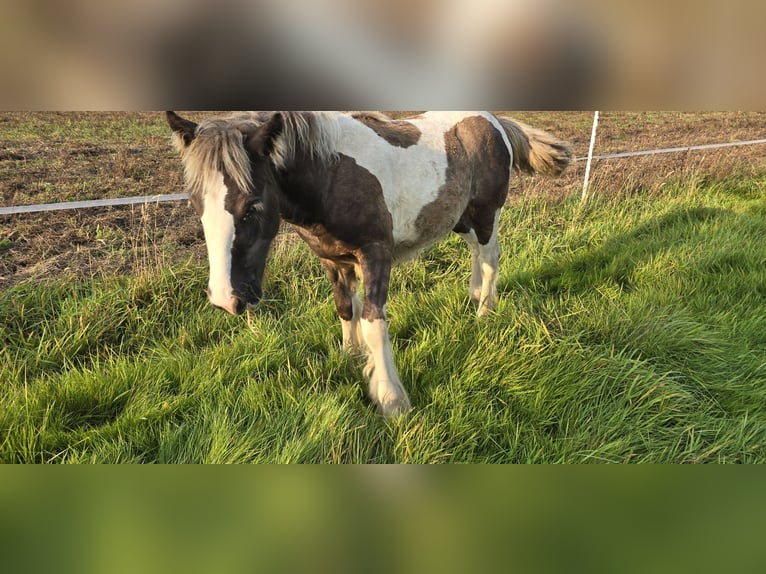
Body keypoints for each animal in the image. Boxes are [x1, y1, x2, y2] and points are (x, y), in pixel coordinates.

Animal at [170, 111, 576, 418]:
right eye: (196, 204)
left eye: (252, 206)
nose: (226, 299)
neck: (331, 175)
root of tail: (493, 120)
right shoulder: (332, 260)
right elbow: (345, 309)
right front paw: (350, 354)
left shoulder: (376, 255)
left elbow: (373, 322)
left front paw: (390, 399)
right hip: (460, 220)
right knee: (477, 253)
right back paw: (475, 295)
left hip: (486, 213)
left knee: (491, 258)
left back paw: (485, 312)